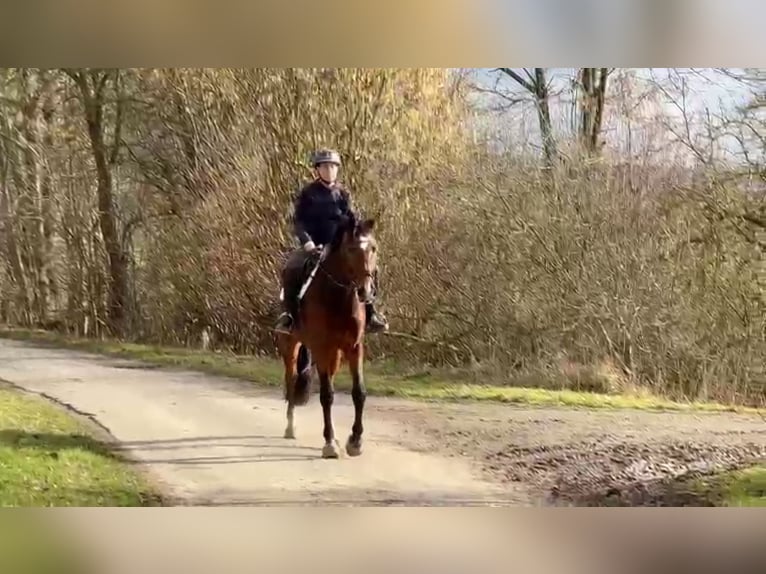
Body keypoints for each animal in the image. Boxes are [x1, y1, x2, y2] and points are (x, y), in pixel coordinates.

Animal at [274, 214, 380, 462]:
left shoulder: (354, 347)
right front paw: (330, 443)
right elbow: (327, 395)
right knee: (291, 382)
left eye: (373, 248)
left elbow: (359, 393)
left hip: (335, 354)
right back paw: (290, 427)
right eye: (351, 249)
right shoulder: (322, 347)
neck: (339, 297)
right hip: (292, 347)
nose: (366, 291)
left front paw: (355, 441)